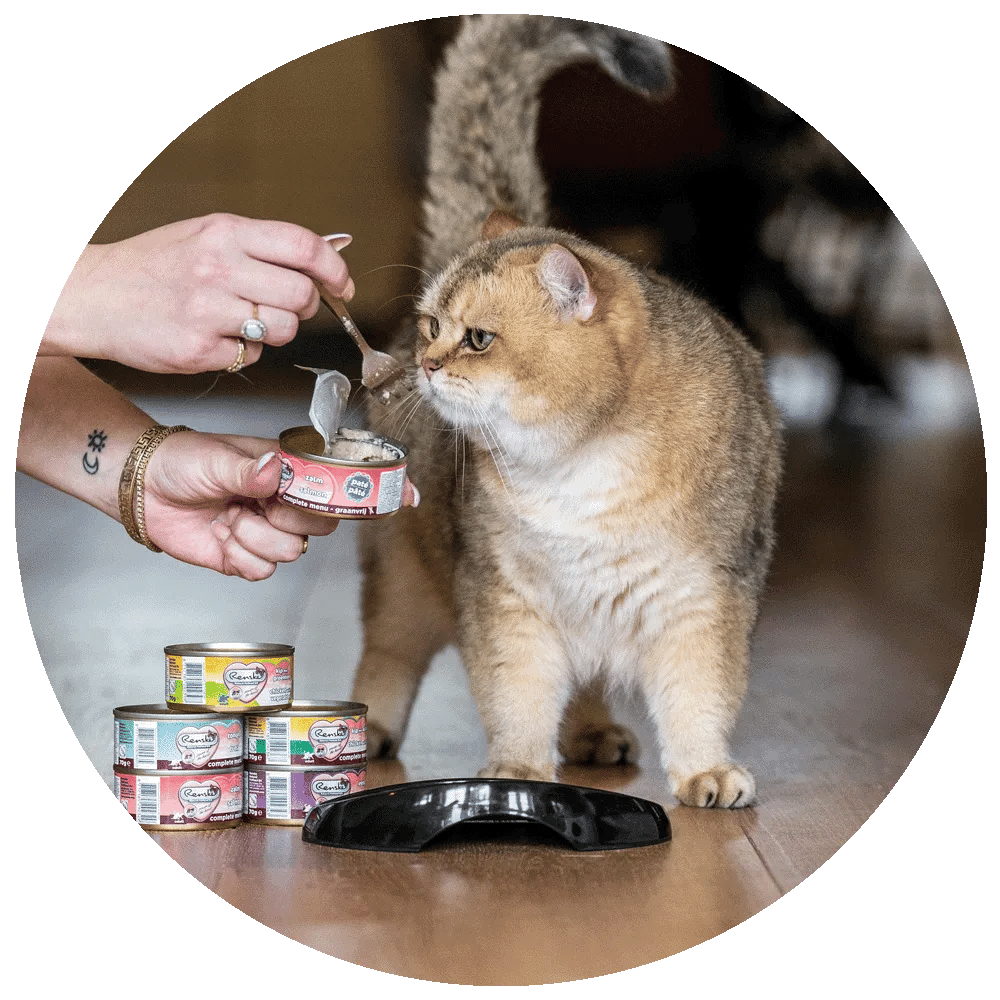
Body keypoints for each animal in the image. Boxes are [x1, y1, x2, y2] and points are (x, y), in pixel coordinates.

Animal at [350, 14, 782, 808]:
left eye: (478, 339)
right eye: (432, 326)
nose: (425, 365)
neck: (577, 466)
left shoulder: (704, 600)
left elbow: (700, 694)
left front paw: (705, 768)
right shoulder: (505, 599)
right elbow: (516, 692)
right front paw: (518, 768)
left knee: (584, 683)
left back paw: (592, 736)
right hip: (402, 578)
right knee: (388, 654)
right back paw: (371, 729)